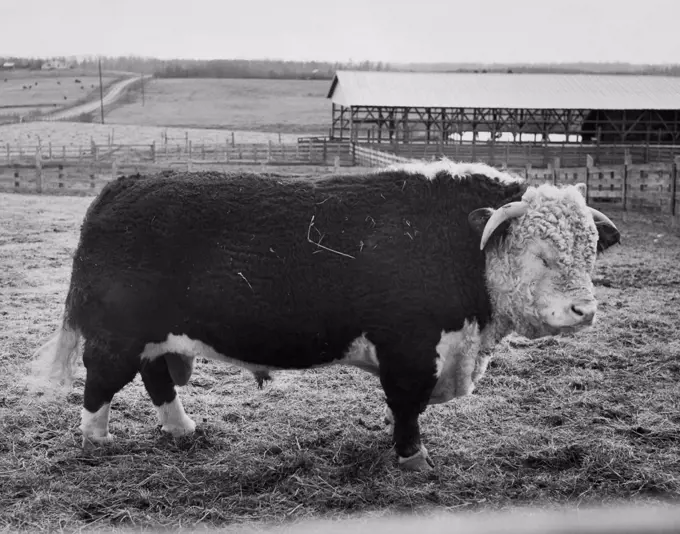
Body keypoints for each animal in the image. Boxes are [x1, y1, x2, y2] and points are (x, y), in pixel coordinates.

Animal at [35, 162, 620, 474]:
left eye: (591, 251)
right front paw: (413, 459)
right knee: (100, 381)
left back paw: (182, 429)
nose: (584, 310)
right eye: (541, 254)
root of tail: (125, 183)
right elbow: (406, 407)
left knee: (155, 376)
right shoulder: (409, 350)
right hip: (118, 333)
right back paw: (96, 441)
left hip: (156, 335)